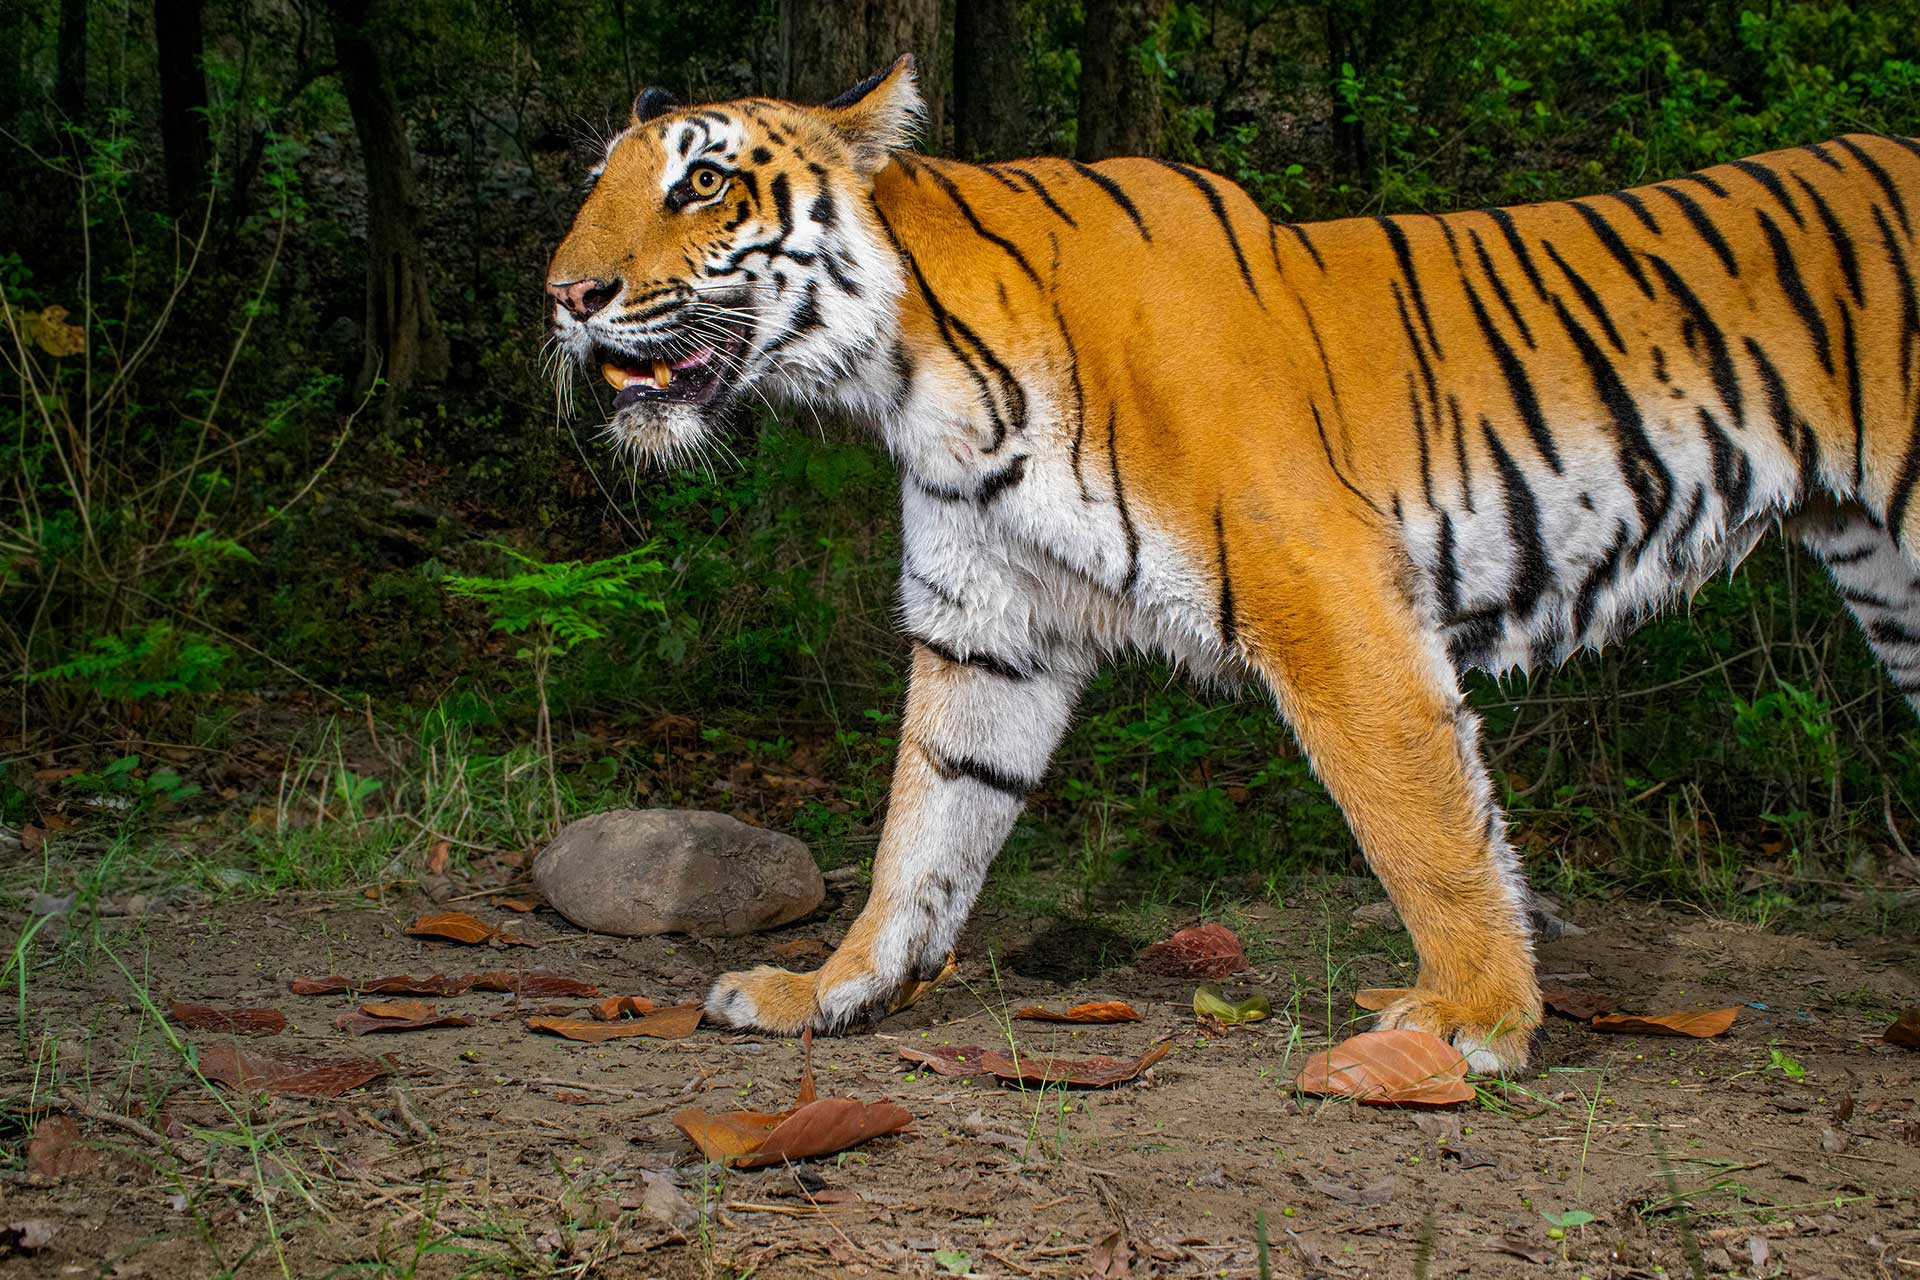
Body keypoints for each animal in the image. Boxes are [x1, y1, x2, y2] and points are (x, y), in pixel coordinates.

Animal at [545, 54, 1920, 1072]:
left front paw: (1473, 1020)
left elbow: (1425, 821)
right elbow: (923, 834)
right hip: (1890, 582)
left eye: (704, 181)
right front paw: (826, 990)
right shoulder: (987, 630)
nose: (565, 295)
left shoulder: (1328, 590)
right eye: (600, 182)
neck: (914, 373)